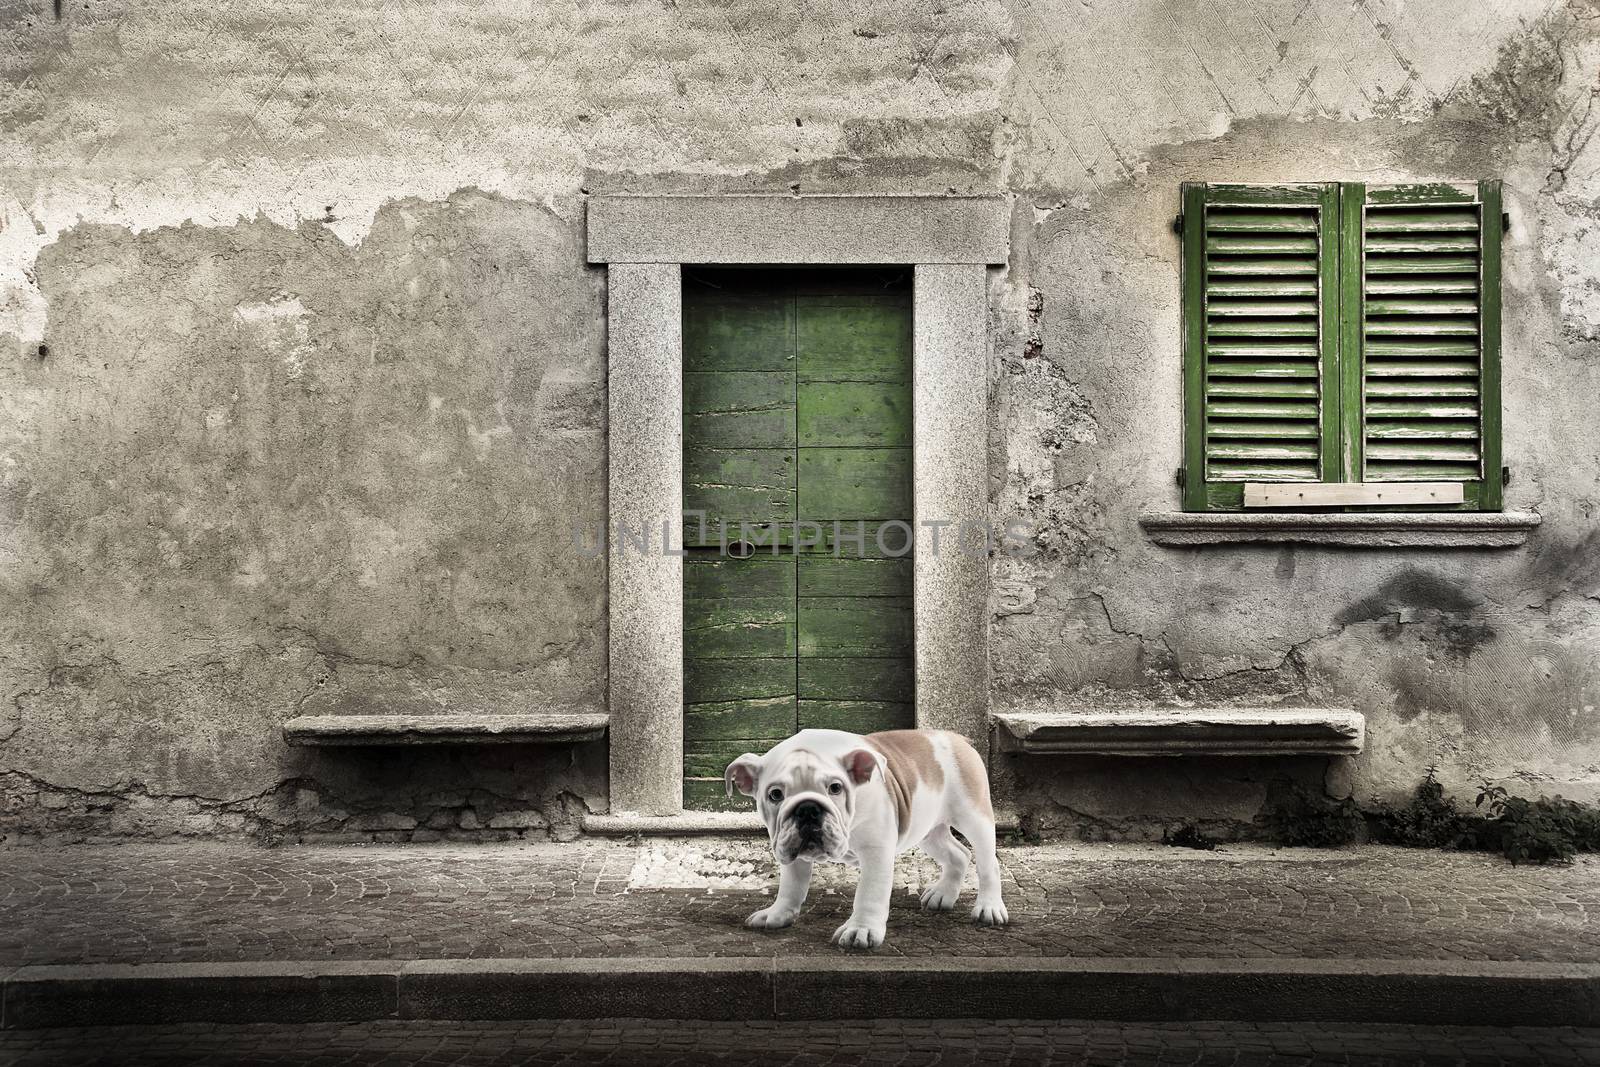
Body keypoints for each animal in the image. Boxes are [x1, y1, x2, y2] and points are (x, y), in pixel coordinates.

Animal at [729, 726, 1011, 953]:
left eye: (835, 788)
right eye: (775, 794)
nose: (807, 808)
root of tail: (956, 738)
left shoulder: (877, 851)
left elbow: (869, 893)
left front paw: (861, 930)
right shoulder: (790, 851)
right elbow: (790, 886)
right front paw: (777, 914)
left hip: (974, 817)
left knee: (988, 864)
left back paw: (989, 907)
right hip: (928, 829)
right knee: (959, 855)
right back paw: (943, 895)